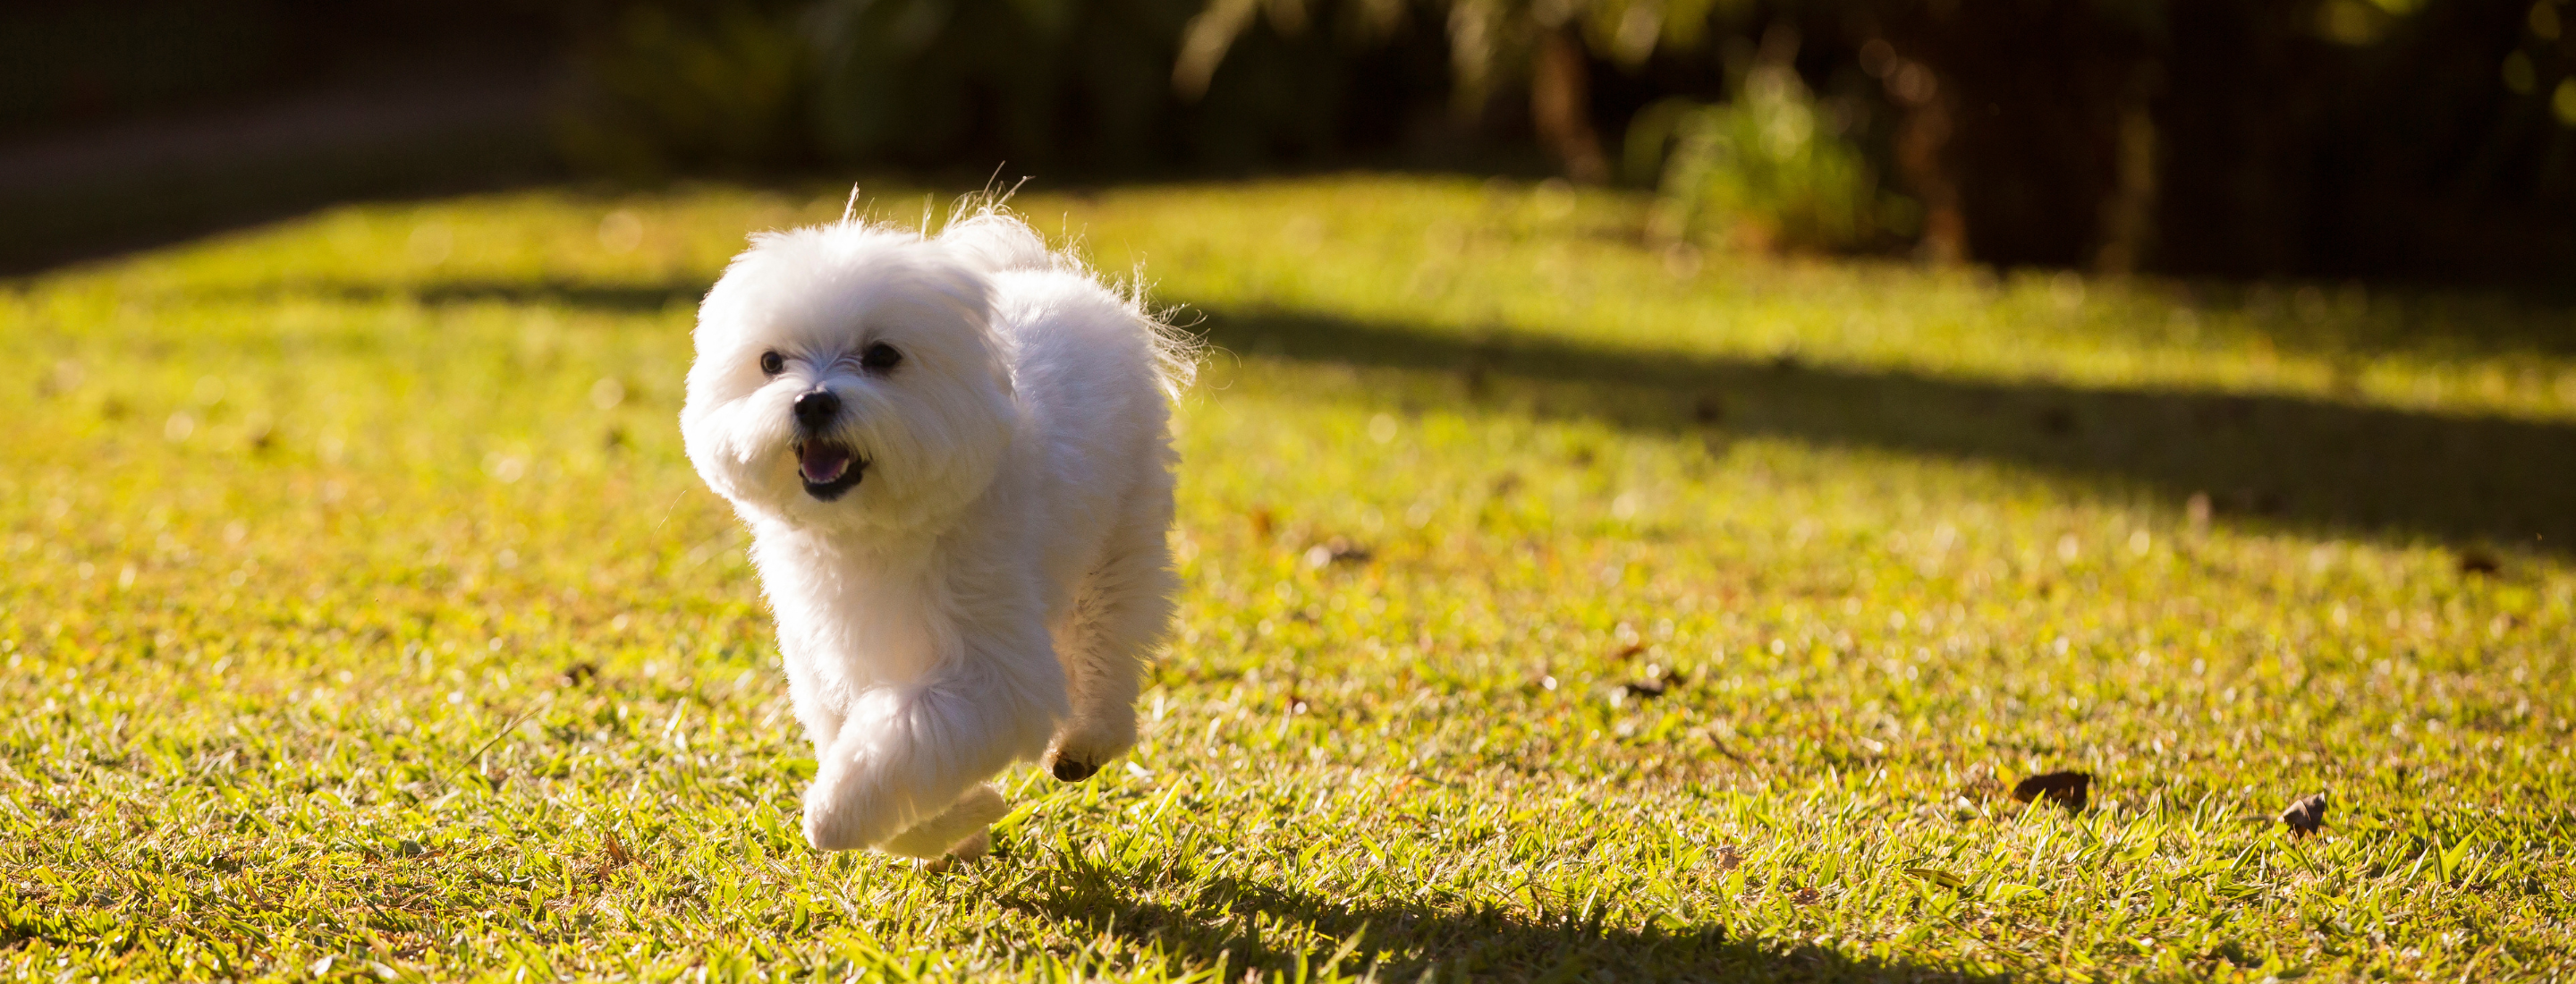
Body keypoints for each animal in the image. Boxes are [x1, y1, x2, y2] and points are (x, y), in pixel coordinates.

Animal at [674, 203, 1180, 855]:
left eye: (882, 356)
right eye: (770, 362)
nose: (813, 402)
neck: (871, 530)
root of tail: (1050, 275)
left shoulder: (987, 673)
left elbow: (894, 749)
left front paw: (834, 815)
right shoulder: (830, 669)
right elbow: (883, 774)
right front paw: (961, 823)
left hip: (1119, 537)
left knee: (1106, 635)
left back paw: (1089, 738)